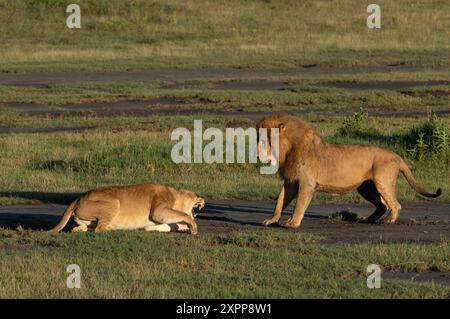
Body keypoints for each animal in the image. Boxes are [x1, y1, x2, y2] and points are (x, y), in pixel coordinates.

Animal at [48, 182, 204, 235]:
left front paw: (185, 227)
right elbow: (184, 215)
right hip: (114, 202)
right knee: (99, 229)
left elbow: (173, 225)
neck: (174, 194)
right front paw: (193, 227)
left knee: (83, 228)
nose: (202, 200)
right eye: (195, 195)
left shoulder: (151, 225)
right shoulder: (158, 212)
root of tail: (78, 198)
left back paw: (78, 229)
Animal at [258, 114, 442, 228]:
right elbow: (280, 202)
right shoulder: (290, 181)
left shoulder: (307, 183)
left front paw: (292, 223)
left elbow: (299, 205)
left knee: (395, 204)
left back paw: (389, 220)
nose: (257, 155)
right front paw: (272, 220)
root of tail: (396, 155)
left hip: (382, 181)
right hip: (366, 188)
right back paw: (367, 220)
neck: (288, 150)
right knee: (382, 205)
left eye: (264, 141)